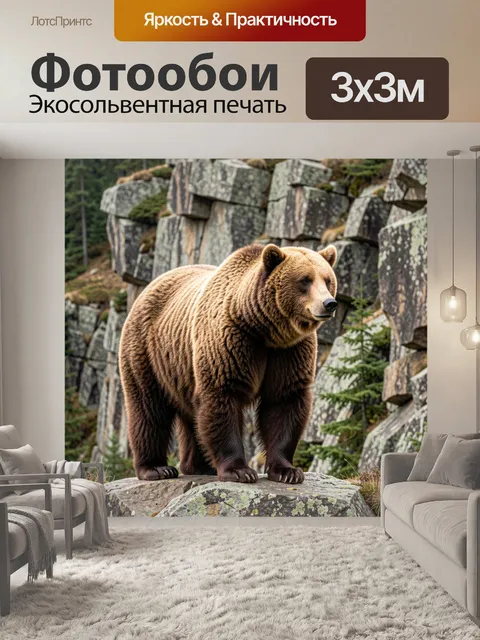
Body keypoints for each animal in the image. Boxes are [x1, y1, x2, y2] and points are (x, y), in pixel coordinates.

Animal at [119, 243, 338, 485]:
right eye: (305, 280)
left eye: (328, 279)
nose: (329, 303)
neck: (264, 330)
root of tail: (149, 287)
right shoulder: (231, 343)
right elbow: (223, 399)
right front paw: (239, 471)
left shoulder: (289, 352)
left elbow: (284, 402)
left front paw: (287, 471)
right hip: (148, 352)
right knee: (149, 407)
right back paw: (156, 468)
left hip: (182, 369)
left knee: (192, 417)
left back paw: (198, 466)